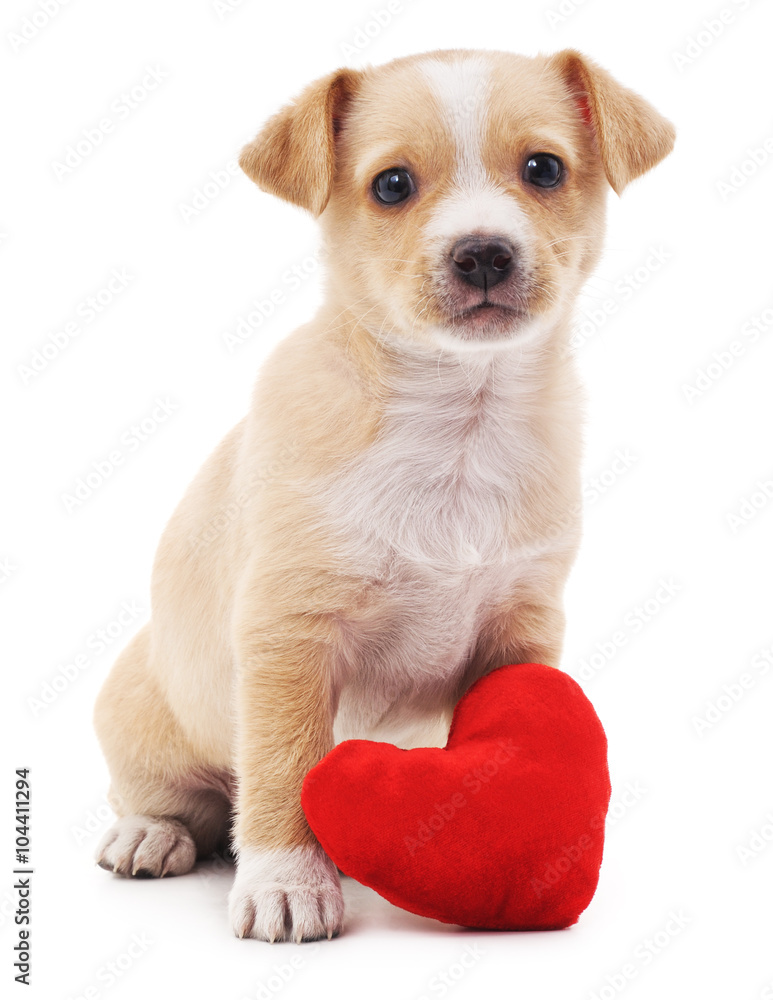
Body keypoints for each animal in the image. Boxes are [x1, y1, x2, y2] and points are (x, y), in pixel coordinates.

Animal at [95, 48, 676, 936]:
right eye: (392, 185)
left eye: (543, 168)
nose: (482, 254)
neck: (455, 425)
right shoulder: (288, 635)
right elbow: (283, 766)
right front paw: (286, 882)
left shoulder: (520, 630)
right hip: (144, 716)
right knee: (170, 795)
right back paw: (150, 834)